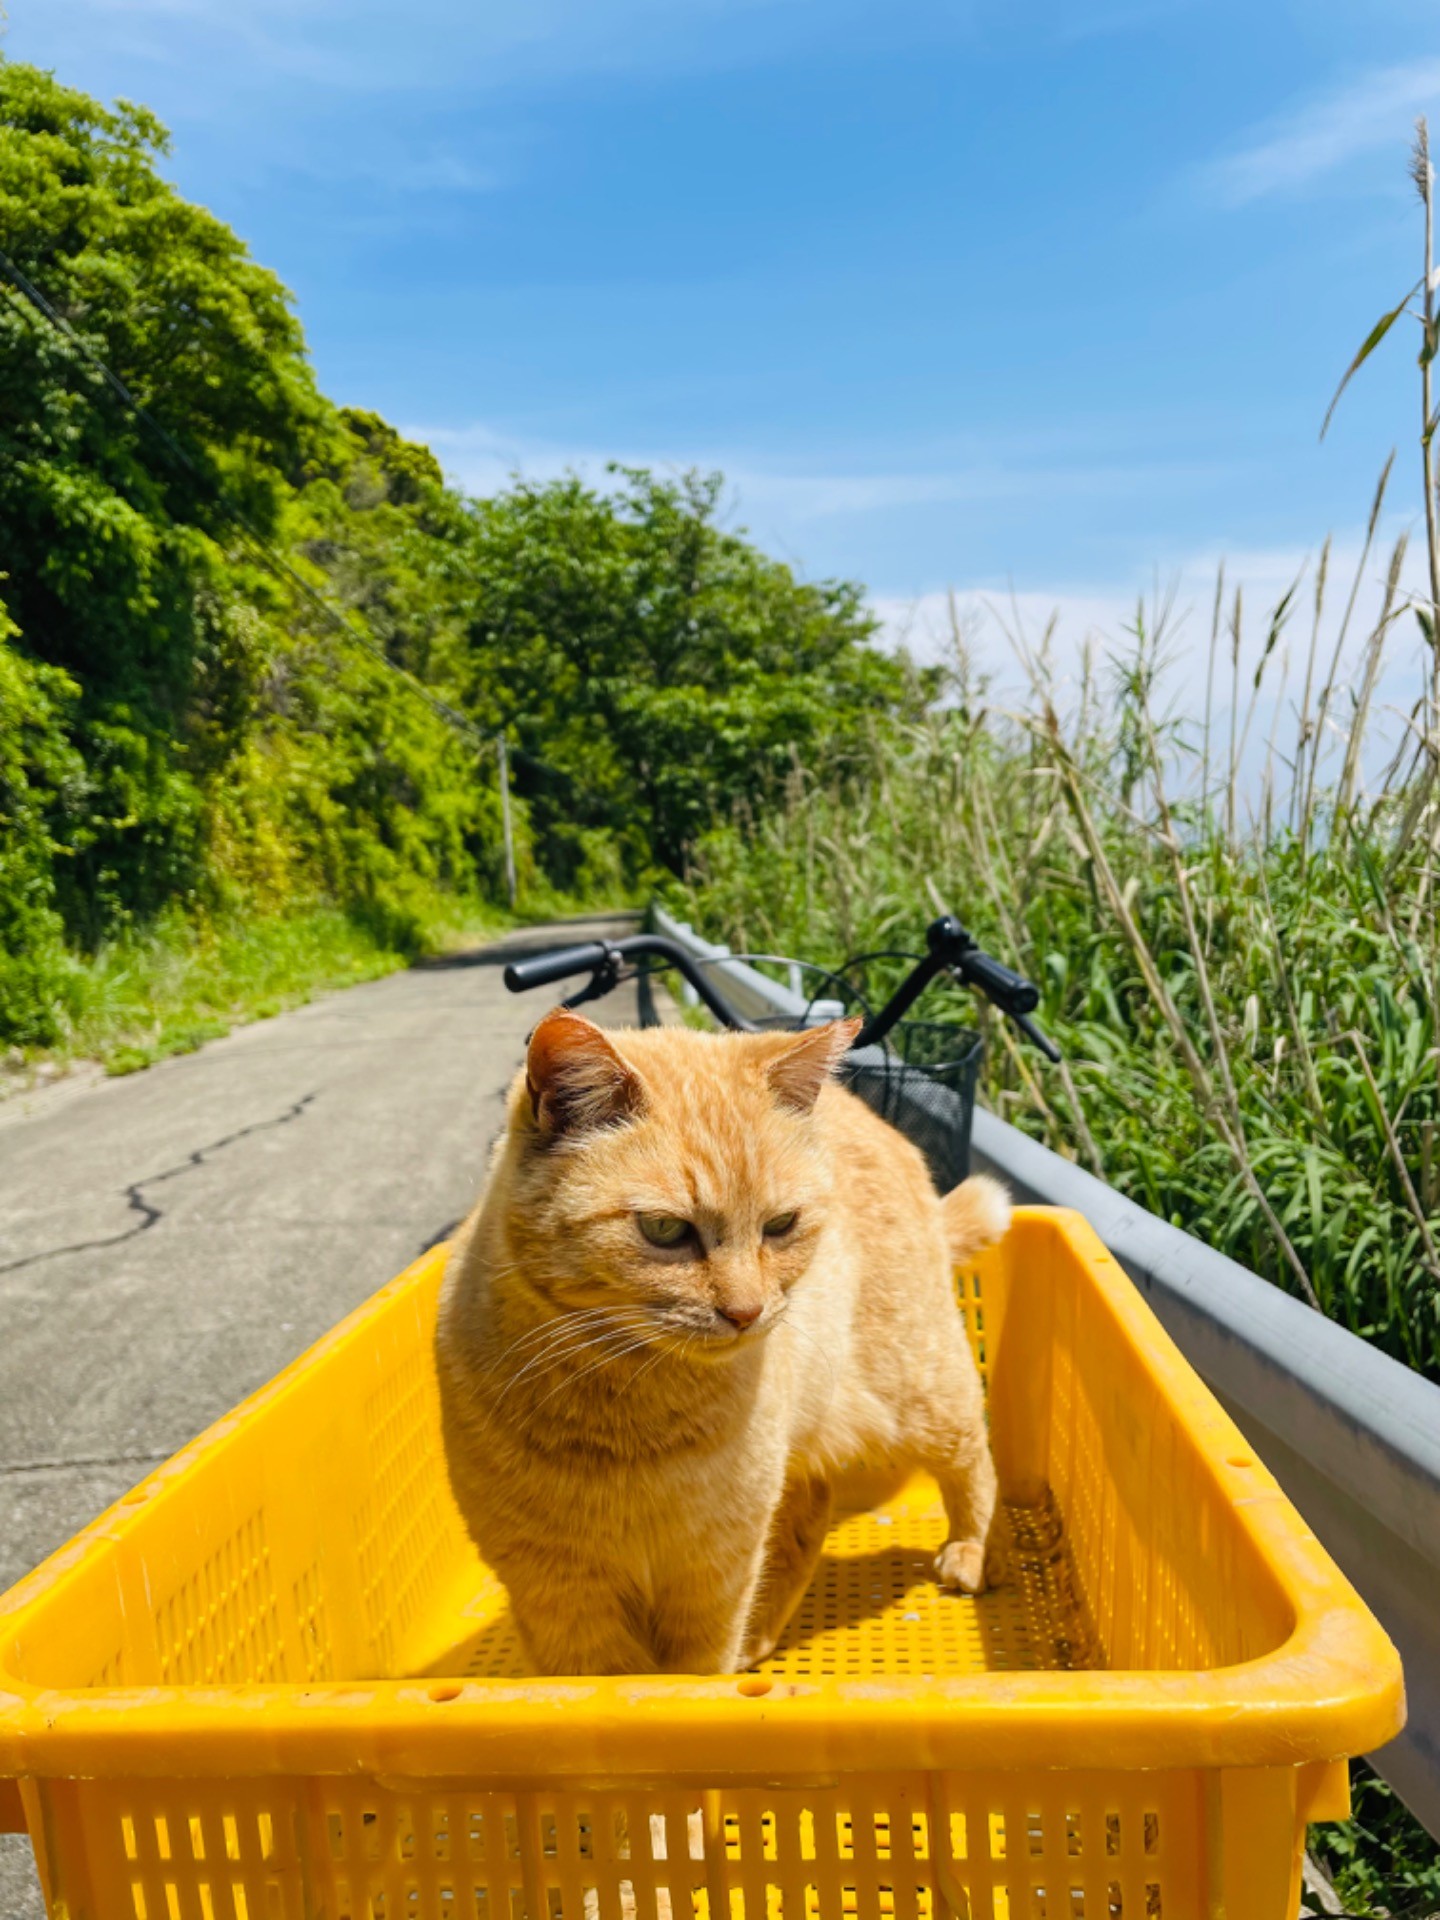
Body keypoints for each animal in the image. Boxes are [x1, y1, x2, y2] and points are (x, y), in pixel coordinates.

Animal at [433, 1013, 1006, 1674]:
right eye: (663, 1230)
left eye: (780, 1225)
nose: (746, 1311)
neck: (627, 1416)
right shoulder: (557, 1593)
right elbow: (610, 1677)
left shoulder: (712, 1575)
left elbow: (693, 1671)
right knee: (813, 1502)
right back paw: (763, 1635)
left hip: (920, 1392)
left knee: (974, 1457)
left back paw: (971, 1550)